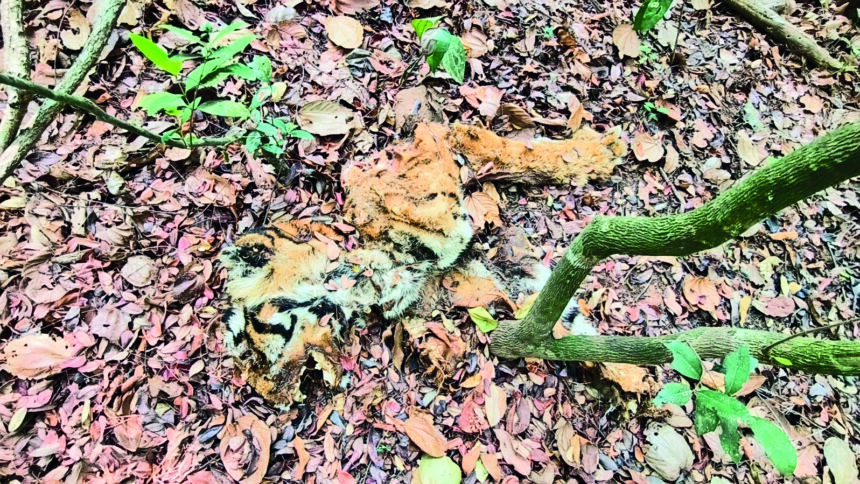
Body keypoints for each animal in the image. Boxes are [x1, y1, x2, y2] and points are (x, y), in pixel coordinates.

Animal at [221, 122, 627, 406]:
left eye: (253, 353)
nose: (272, 399)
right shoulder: (485, 275)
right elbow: (561, 320)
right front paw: (626, 375)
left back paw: (603, 149)